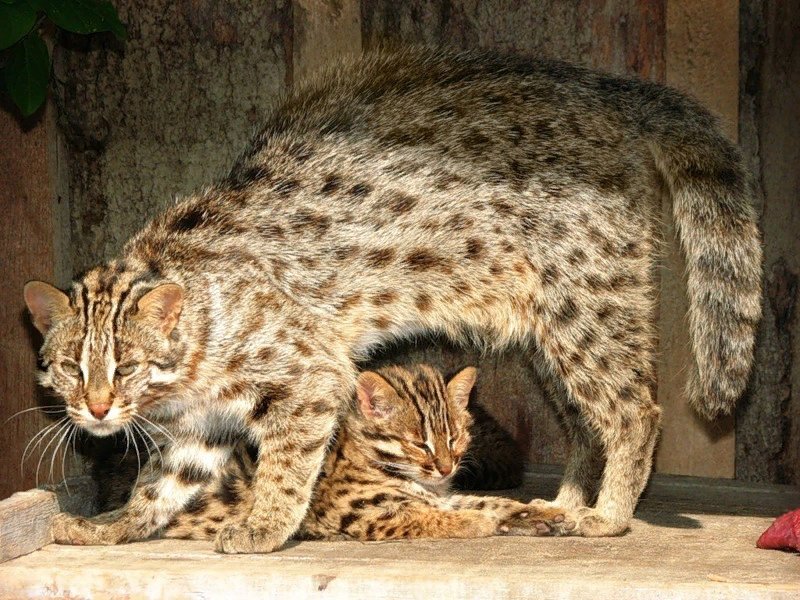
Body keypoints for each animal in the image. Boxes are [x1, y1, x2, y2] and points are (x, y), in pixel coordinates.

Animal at [164, 364, 556, 540]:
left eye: (455, 438)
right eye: (419, 443)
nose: (446, 469)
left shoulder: (440, 494)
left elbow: (489, 502)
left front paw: (543, 513)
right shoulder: (361, 512)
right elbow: (427, 516)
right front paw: (477, 522)